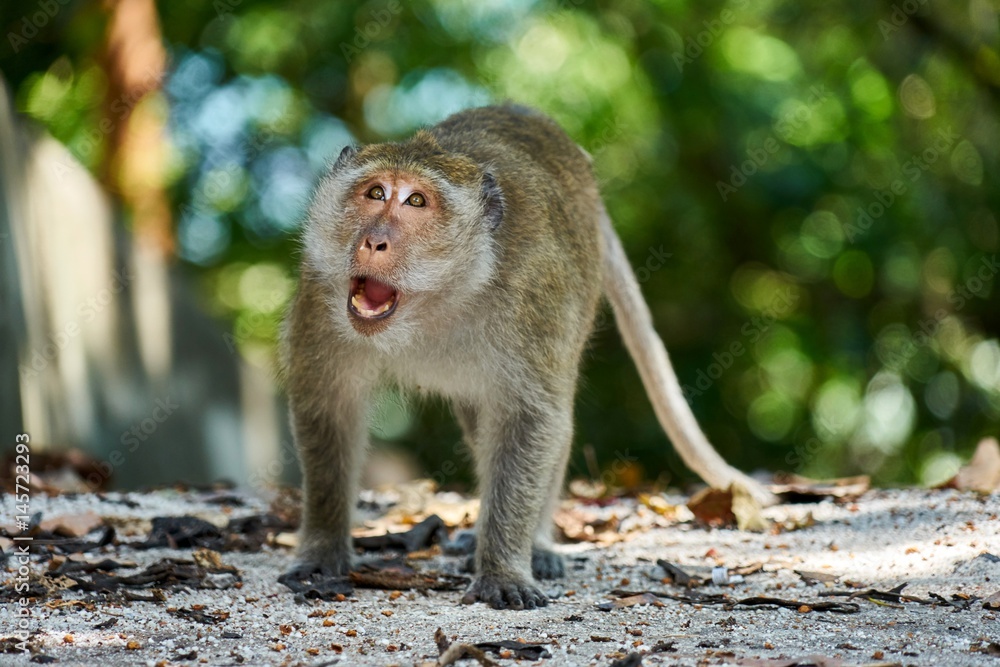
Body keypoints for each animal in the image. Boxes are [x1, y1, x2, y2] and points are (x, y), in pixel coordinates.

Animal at [280, 104, 776, 610]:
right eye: (375, 193)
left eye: (416, 201)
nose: (373, 241)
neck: (441, 296)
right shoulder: (321, 290)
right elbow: (329, 410)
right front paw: (322, 550)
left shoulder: (532, 296)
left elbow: (531, 419)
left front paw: (503, 569)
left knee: (551, 420)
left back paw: (534, 546)